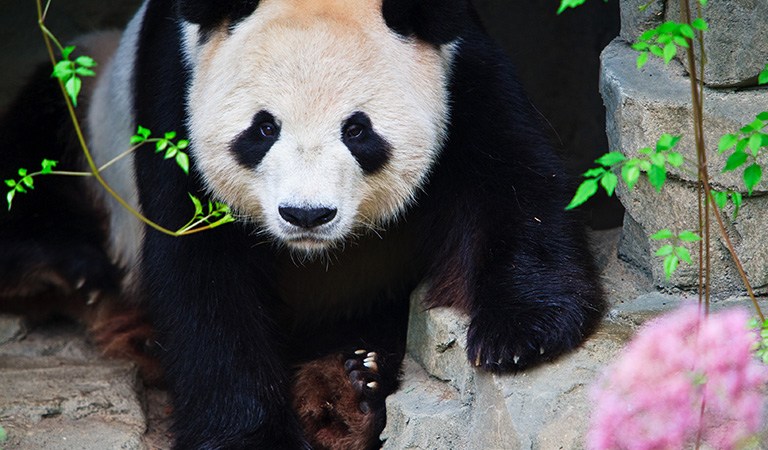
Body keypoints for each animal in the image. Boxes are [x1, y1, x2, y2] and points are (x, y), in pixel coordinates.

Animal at [0, 0, 605, 449]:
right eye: (263, 128)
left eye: (357, 130)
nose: (306, 215)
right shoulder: (175, 88)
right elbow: (203, 277)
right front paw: (249, 438)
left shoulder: (460, 68)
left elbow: (511, 179)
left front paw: (517, 335)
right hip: (88, 94)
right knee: (40, 132)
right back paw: (61, 270)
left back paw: (351, 392)